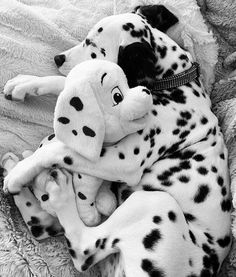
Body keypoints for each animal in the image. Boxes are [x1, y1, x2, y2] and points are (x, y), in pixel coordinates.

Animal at [2, 4, 230, 276]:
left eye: (94, 48)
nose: (58, 58)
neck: (173, 85)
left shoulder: (124, 161)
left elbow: (61, 149)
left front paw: (21, 171)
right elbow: (67, 84)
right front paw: (28, 83)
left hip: (155, 202)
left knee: (82, 248)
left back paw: (55, 190)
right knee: (43, 224)